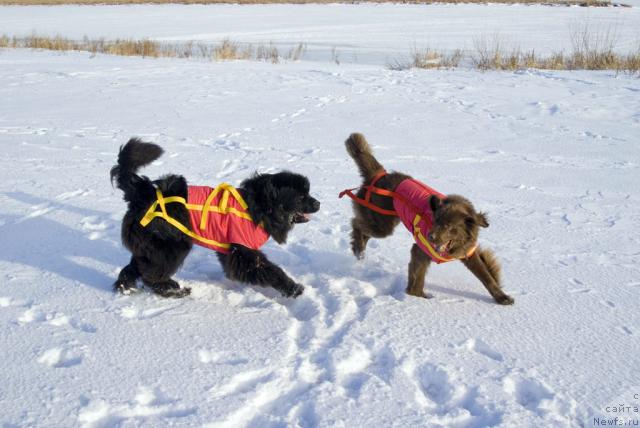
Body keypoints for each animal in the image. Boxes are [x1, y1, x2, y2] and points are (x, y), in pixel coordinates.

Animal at [112, 139, 320, 300]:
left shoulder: (229, 249)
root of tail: (141, 193)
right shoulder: (243, 250)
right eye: (301, 197)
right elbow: (269, 270)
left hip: (150, 246)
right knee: (151, 274)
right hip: (171, 245)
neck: (262, 207)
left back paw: (125, 286)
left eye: (308, 193)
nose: (318, 203)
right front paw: (293, 288)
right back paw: (173, 290)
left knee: (136, 267)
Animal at [342, 134, 512, 304]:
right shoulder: (419, 250)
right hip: (382, 224)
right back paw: (358, 249)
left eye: (449, 226)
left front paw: (502, 297)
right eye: (435, 221)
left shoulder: (469, 254)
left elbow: (487, 277)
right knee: (356, 224)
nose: (430, 237)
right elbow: (418, 278)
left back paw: (359, 253)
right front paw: (418, 299)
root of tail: (380, 175)